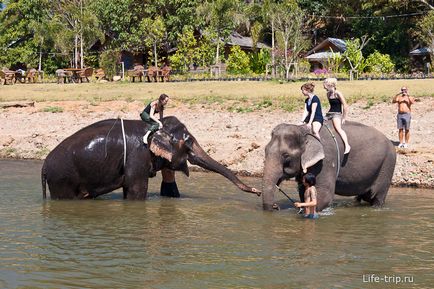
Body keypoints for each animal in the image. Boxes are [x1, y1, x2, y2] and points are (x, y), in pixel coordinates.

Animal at [41, 116, 262, 199]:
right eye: (189, 143)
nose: (257, 191)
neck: (154, 127)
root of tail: (43, 166)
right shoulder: (138, 156)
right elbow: (136, 189)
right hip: (62, 179)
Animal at [262, 120, 396, 210]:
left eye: (286, 155)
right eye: (265, 150)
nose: (275, 206)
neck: (304, 130)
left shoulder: (325, 160)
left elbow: (323, 195)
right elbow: (303, 191)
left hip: (387, 165)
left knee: (377, 196)